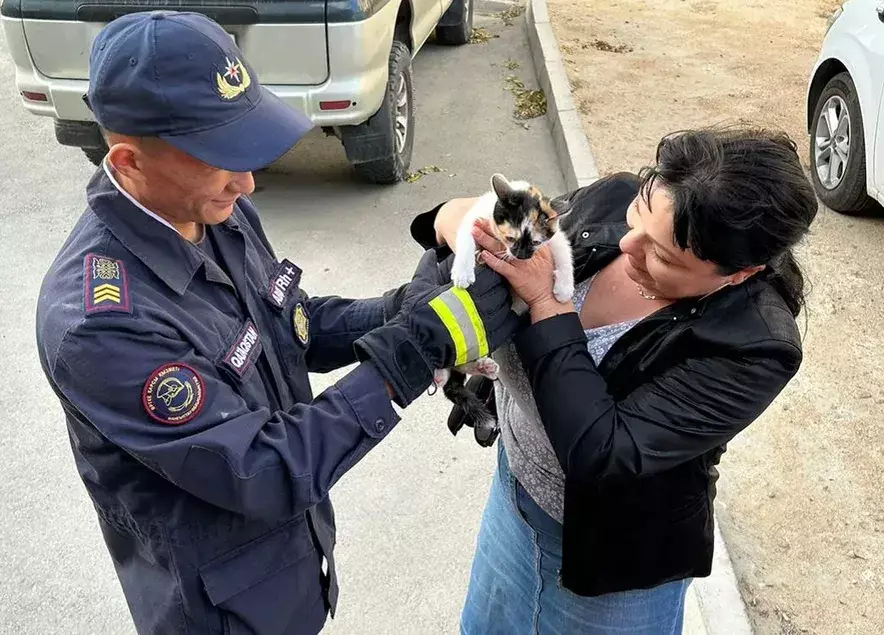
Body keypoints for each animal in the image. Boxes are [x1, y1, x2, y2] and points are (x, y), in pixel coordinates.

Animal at [434, 171, 572, 444]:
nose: (521, 256)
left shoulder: (555, 236)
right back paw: (441, 372)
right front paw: (463, 271)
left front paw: (564, 288)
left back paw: (480, 367)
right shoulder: (474, 217)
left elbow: (563, 252)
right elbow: (466, 239)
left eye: (536, 243)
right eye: (511, 238)